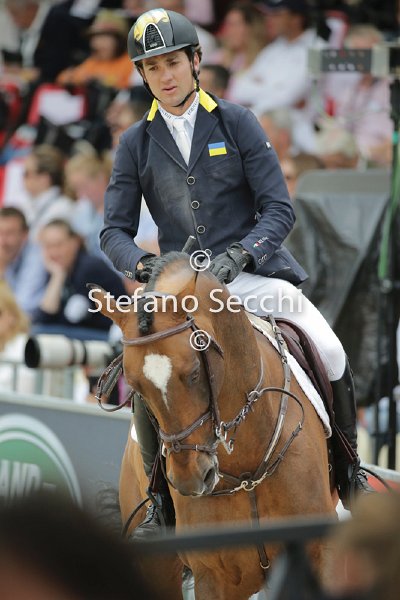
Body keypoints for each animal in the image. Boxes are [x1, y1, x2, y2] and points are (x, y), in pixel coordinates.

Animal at [91, 251, 336, 600]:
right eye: (137, 387)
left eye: (195, 372)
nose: (191, 480)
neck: (246, 466)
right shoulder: (215, 576)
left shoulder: (318, 555)